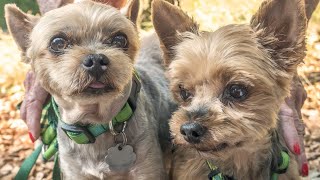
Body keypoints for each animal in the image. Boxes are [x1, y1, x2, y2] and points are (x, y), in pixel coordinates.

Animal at [5, 0, 175, 179]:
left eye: (120, 39)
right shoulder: (74, 173)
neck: (97, 124)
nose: (96, 59)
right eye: (57, 43)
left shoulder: (147, 170)